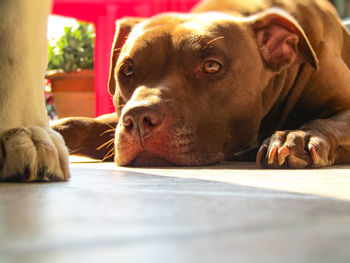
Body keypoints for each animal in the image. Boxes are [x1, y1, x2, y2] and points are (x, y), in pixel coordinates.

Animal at [52, 0, 350, 169]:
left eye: (211, 66)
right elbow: (83, 123)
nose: (137, 119)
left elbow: (327, 121)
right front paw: (50, 133)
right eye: (126, 70)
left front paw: (296, 136)